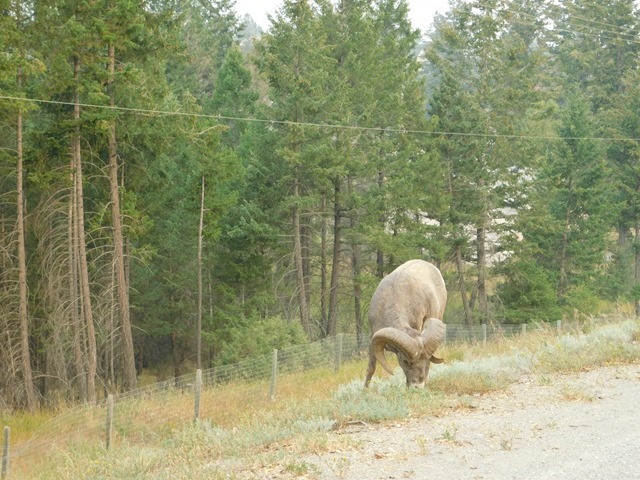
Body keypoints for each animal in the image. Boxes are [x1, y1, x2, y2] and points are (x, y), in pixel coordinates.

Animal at [362, 260, 448, 388]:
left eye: (425, 359)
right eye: (406, 361)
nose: (418, 386)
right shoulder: (371, 339)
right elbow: (371, 369)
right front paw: (365, 390)